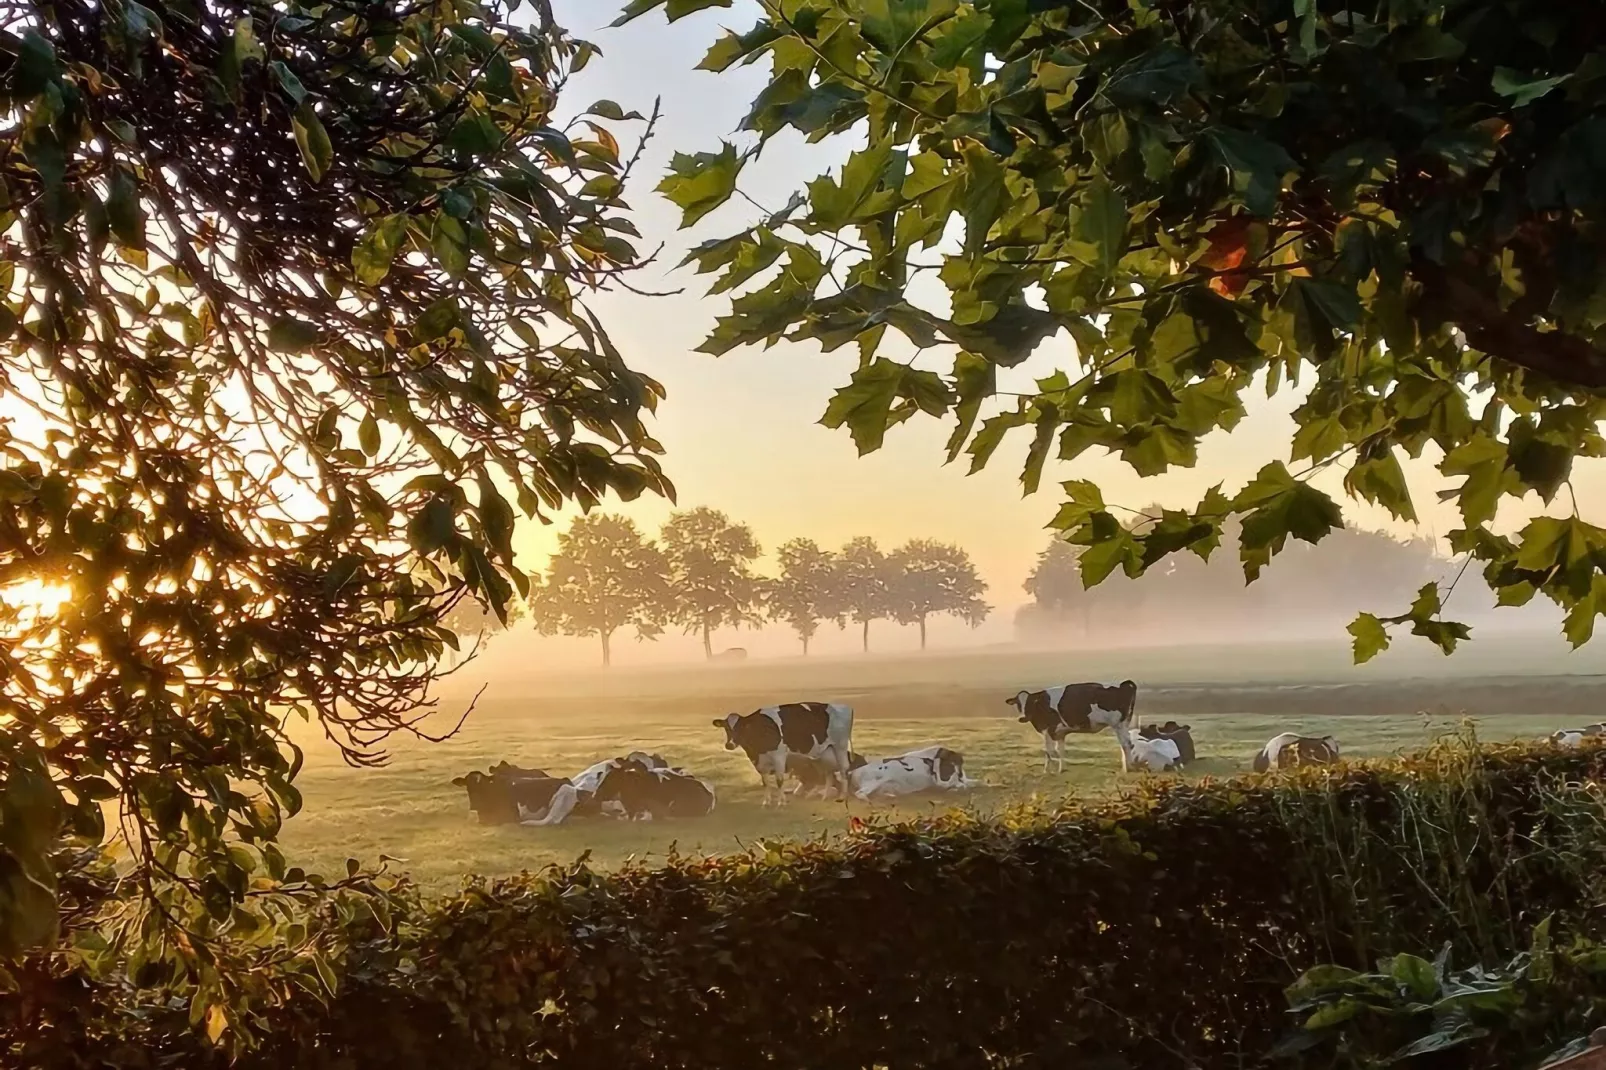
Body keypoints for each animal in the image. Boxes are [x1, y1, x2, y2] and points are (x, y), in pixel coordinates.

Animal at [713, 700, 854, 800]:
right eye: (726, 728)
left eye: (741, 727)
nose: (729, 744)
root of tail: (846, 707)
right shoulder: (759, 761)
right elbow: (765, 781)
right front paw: (766, 802)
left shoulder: (779, 755)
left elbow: (779, 780)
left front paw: (781, 802)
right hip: (826, 752)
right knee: (829, 773)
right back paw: (825, 797)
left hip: (840, 746)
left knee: (843, 768)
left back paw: (843, 796)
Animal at [1002, 677, 1143, 771]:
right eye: (1018, 704)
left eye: (1030, 703)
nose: (1022, 718)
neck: (1042, 705)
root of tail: (1125, 683)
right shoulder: (1060, 733)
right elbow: (1060, 750)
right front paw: (1061, 769)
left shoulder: (1048, 729)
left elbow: (1049, 751)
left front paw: (1048, 770)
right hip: (1124, 723)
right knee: (1127, 743)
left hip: (1118, 724)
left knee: (1125, 744)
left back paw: (1128, 768)